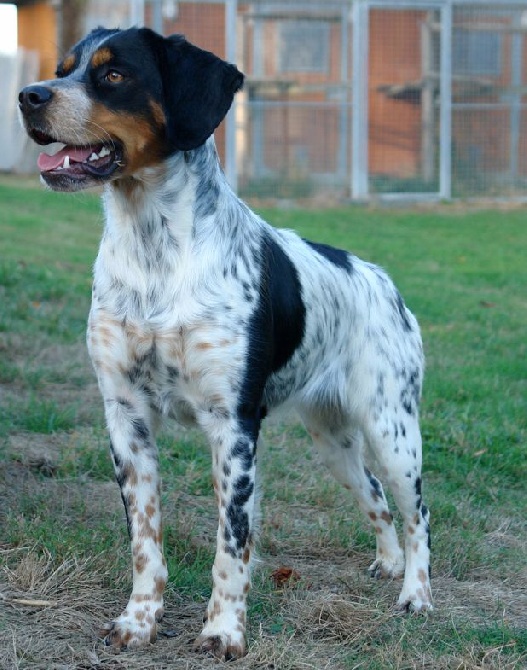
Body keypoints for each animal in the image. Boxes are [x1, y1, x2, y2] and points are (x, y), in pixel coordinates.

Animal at [19, 27, 434, 660]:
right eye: (64, 69)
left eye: (114, 75)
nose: (28, 96)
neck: (155, 258)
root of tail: (383, 281)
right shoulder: (125, 416)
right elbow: (146, 543)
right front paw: (139, 621)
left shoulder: (233, 426)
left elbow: (232, 546)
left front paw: (223, 631)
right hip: (334, 441)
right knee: (375, 498)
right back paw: (388, 564)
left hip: (393, 432)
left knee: (418, 514)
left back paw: (416, 593)